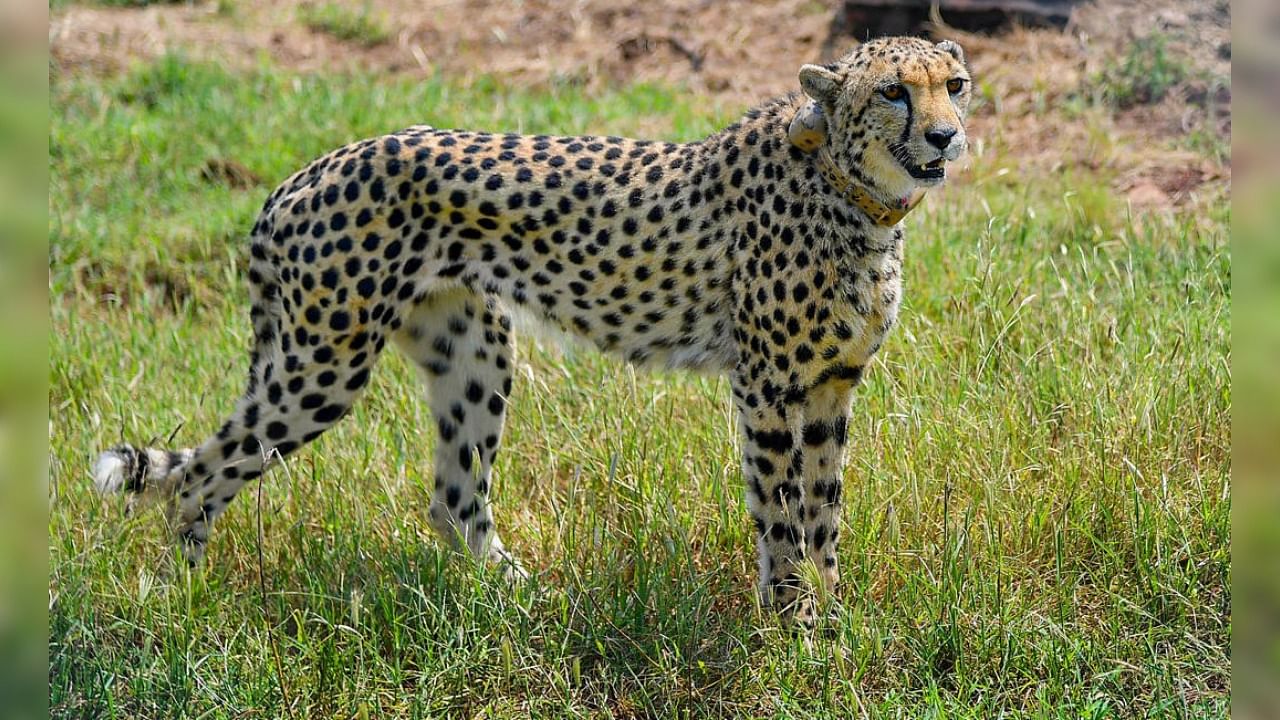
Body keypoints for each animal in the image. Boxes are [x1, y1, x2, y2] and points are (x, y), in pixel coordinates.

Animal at [92, 36, 967, 620]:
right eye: (894, 92)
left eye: (955, 84)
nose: (946, 134)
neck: (852, 191)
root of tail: (305, 173)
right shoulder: (768, 388)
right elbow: (782, 515)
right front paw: (796, 627)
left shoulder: (830, 386)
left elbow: (825, 511)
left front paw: (833, 617)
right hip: (322, 365)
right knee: (202, 475)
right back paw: (180, 600)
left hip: (472, 351)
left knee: (454, 499)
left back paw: (524, 601)